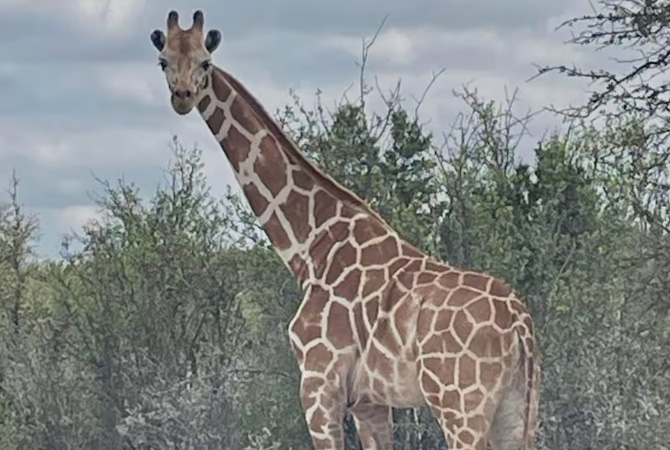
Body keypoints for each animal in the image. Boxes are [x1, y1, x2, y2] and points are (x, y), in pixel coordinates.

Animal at [149, 10, 541, 450]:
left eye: (205, 62)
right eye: (164, 61)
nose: (182, 96)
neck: (310, 246)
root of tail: (521, 325)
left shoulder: (319, 382)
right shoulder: (370, 401)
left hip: (459, 403)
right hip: (517, 405)